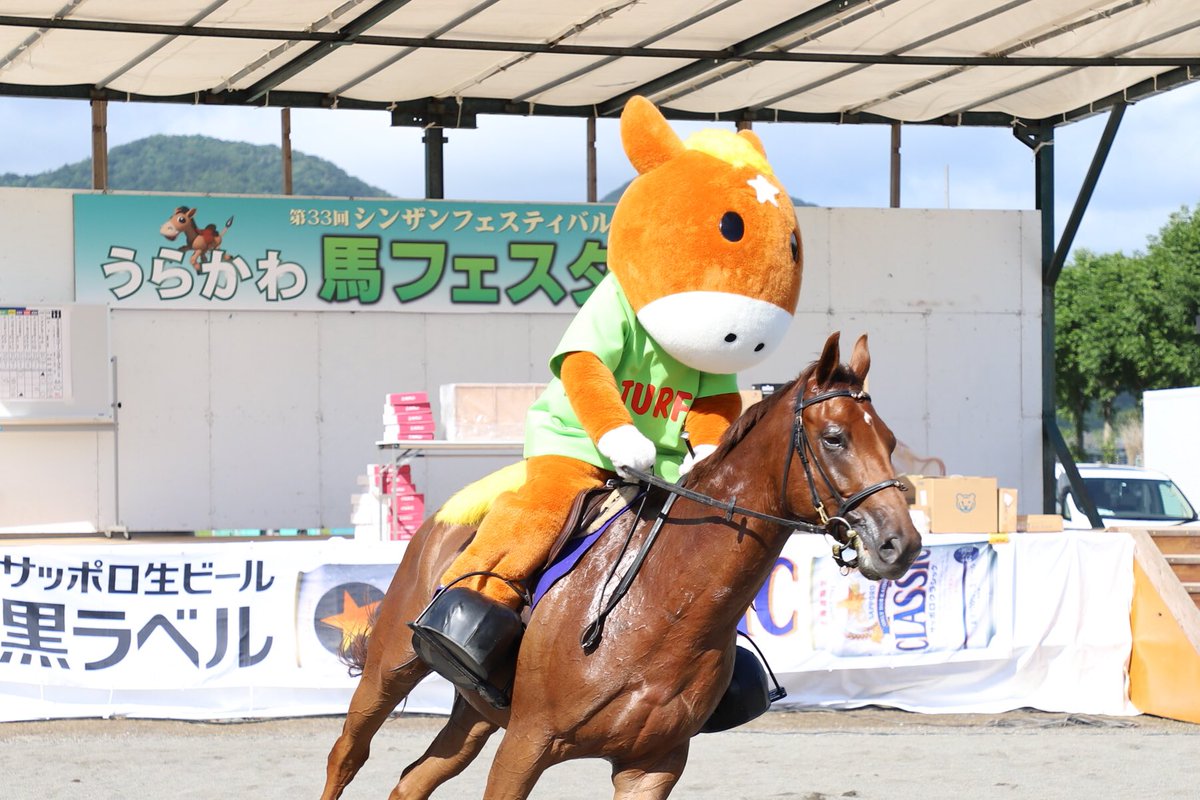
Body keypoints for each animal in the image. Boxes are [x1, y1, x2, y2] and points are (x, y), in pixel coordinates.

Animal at [319, 331, 916, 800]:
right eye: (834, 438)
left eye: (889, 440)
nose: (899, 543)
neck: (660, 607)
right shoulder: (525, 745)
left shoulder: (651, 766)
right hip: (390, 670)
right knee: (346, 755)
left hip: (477, 715)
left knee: (411, 780)